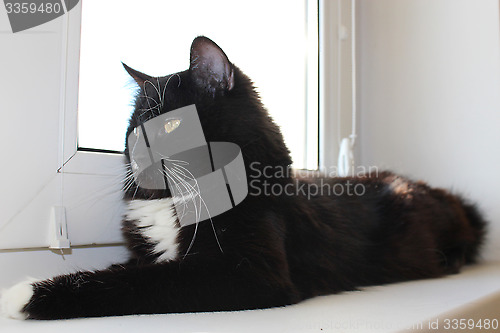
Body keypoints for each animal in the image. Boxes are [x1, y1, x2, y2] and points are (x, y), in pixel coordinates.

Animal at [0, 36, 484, 320]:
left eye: (171, 125)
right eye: (133, 130)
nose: (135, 154)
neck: (181, 197)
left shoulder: (249, 271)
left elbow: (138, 283)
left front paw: (23, 294)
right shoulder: (148, 256)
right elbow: (124, 271)